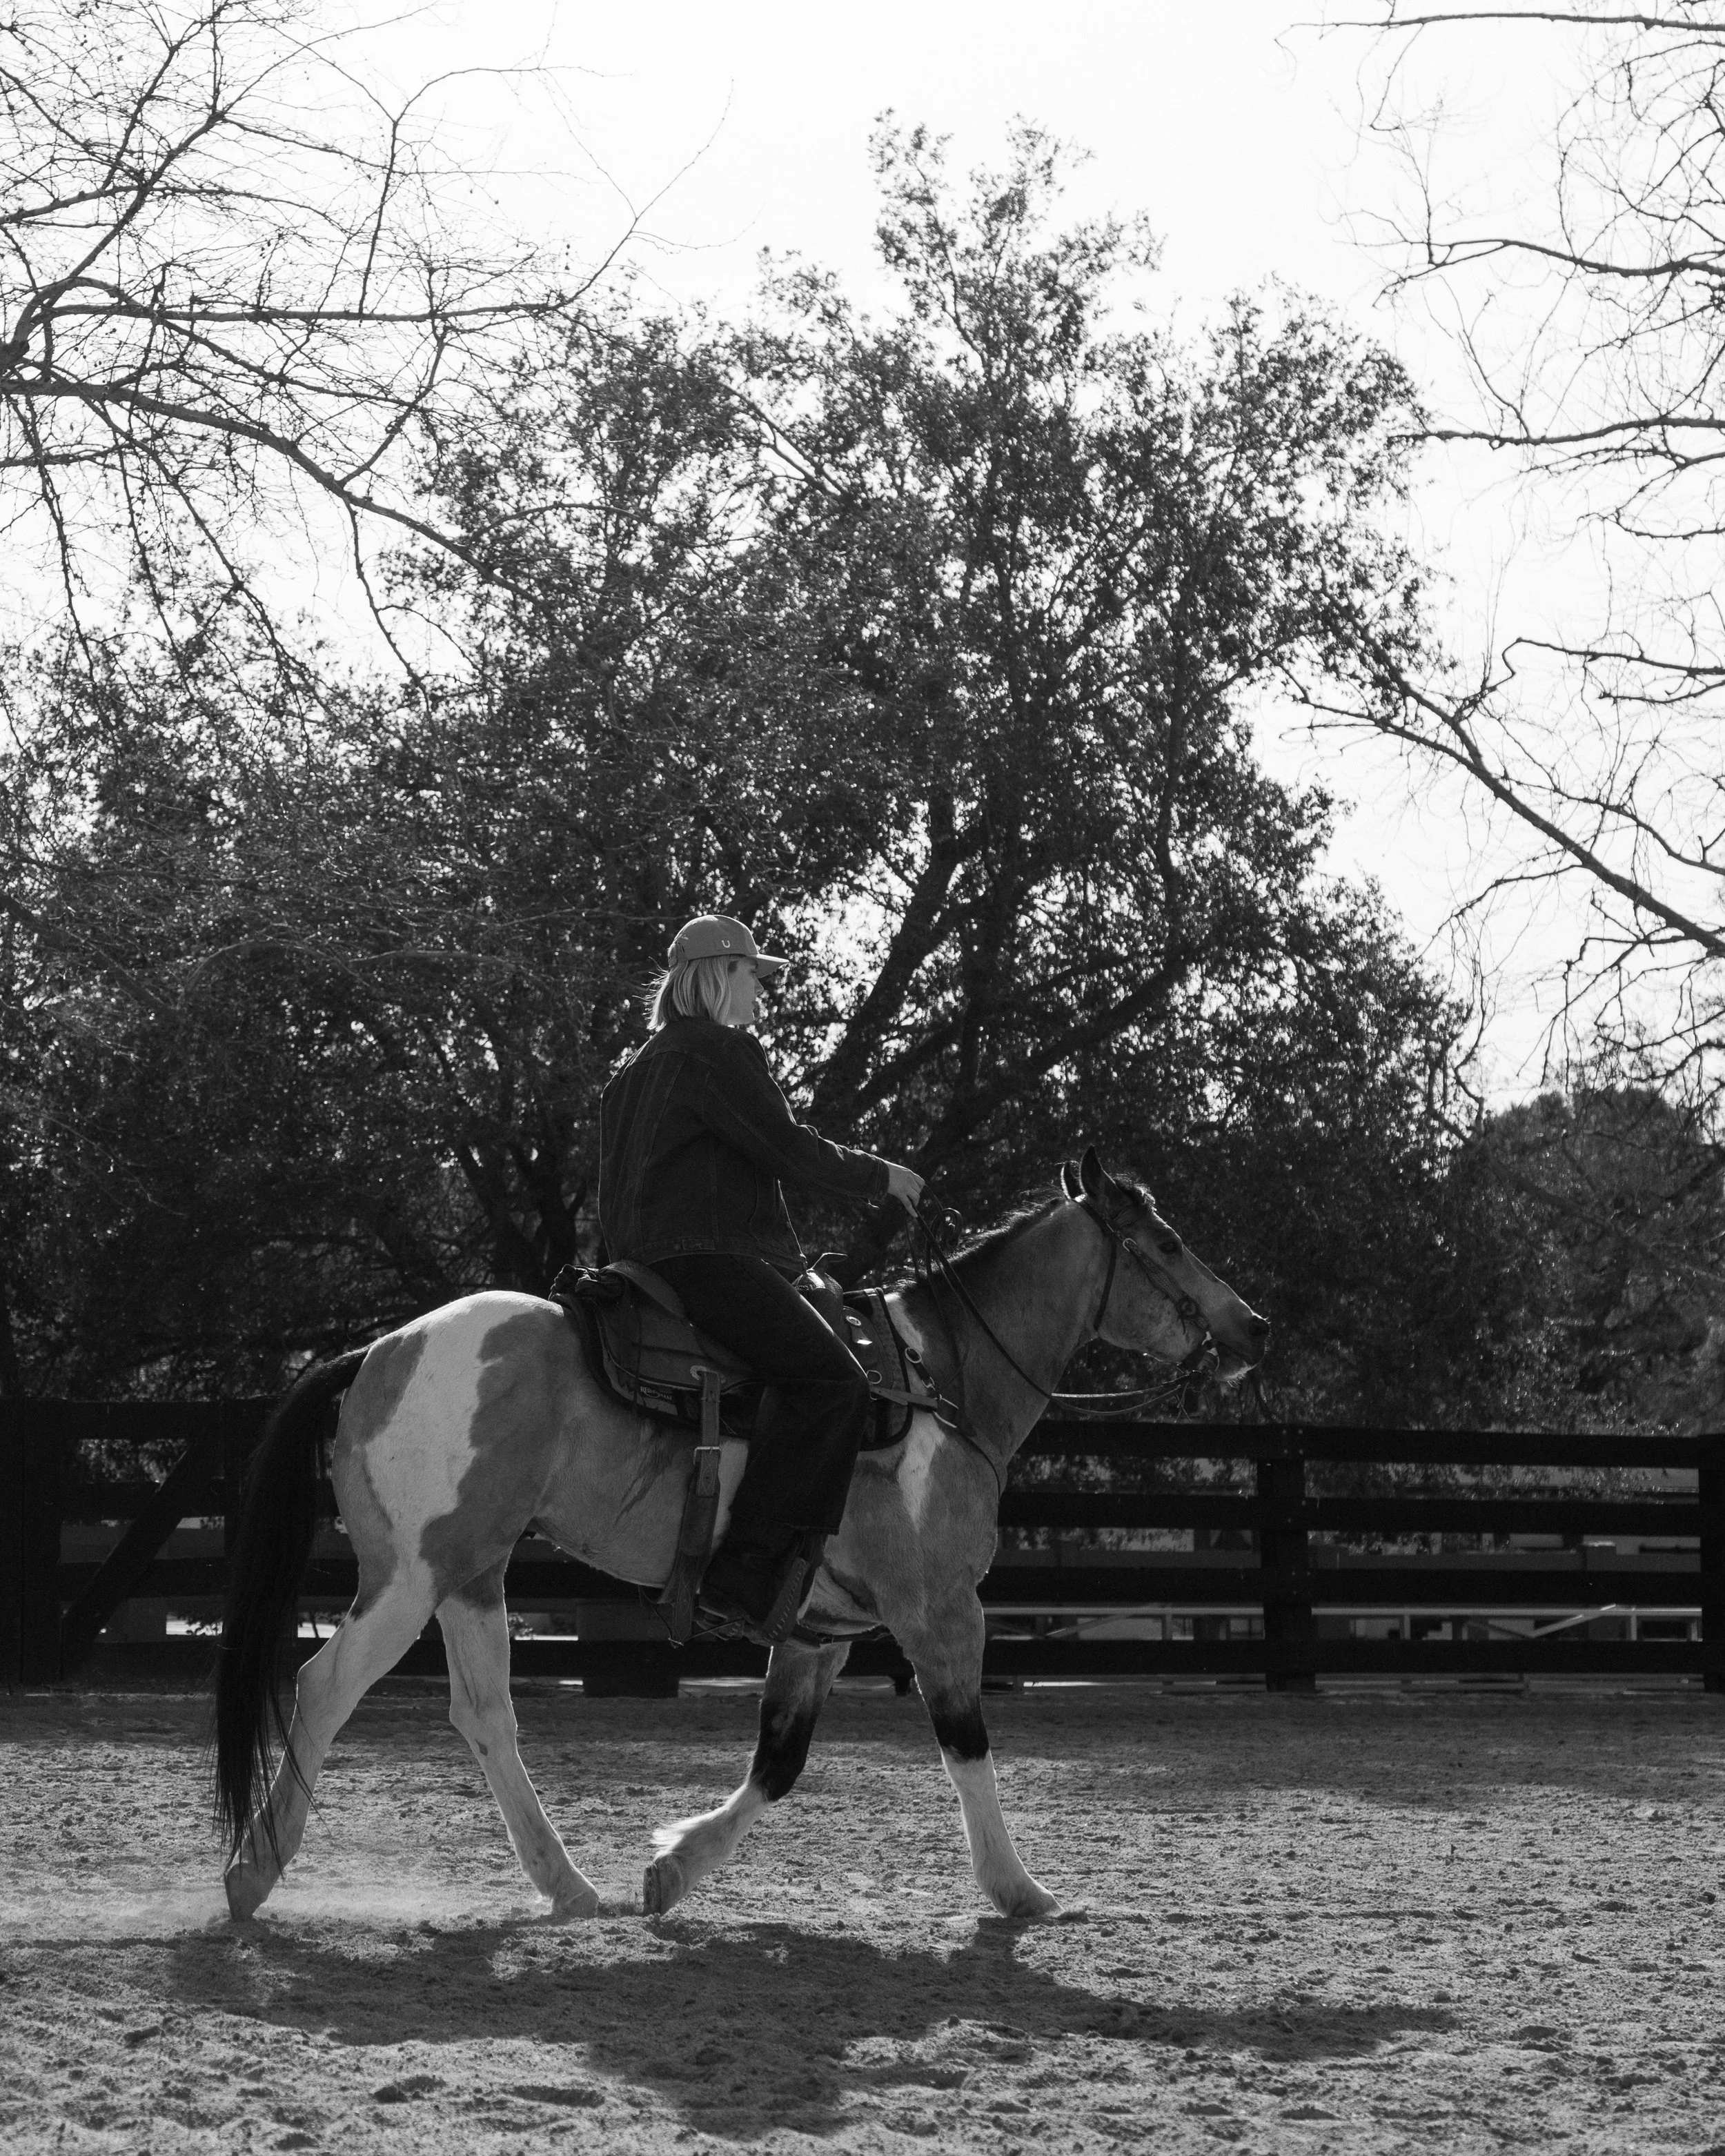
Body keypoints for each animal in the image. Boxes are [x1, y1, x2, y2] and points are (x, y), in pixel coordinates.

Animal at [214, 1146, 1269, 1923]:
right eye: (1166, 1240)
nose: (1253, 1323)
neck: (945, 1379)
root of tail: (376, 1352)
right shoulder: (939, 1613)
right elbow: (964, 1743)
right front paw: (1020, 1890)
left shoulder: (819, 1630)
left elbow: (778, 1763)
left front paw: (674, 1867)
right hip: (410, 1577)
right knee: (324, 1685)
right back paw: (252, 1871)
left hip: (472, 1574)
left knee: (485, 1716)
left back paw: (572, 1887)